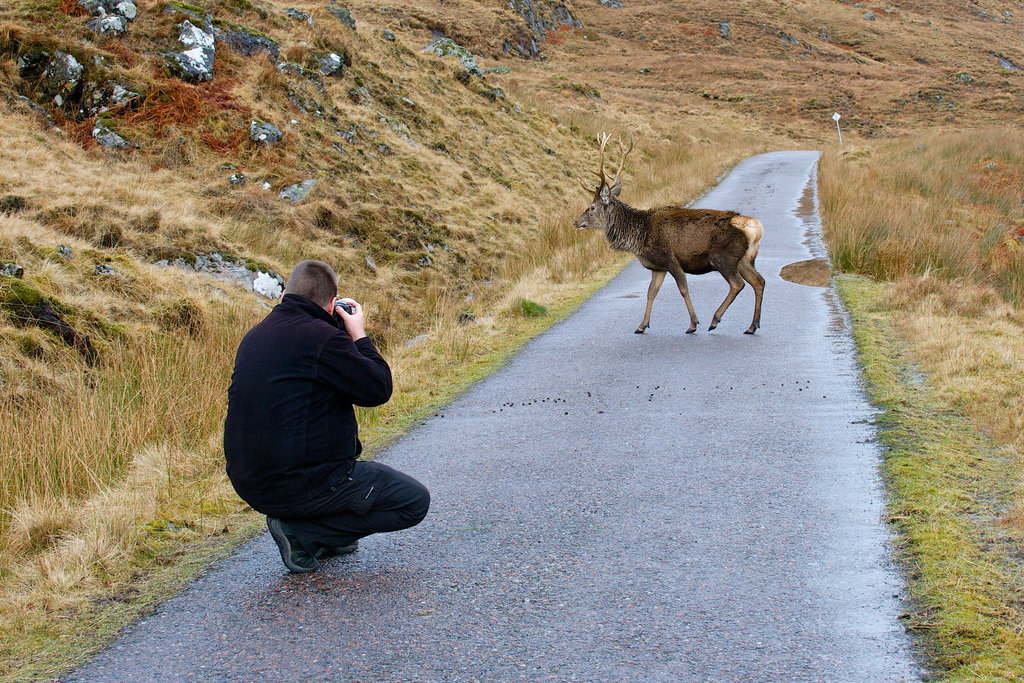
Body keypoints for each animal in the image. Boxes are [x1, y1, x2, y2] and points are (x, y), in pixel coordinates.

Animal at [573, 133, 765, 335]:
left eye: (592, 207)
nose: (576, 222)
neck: (640, 237)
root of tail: (755, 227)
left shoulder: (670, 258)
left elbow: (683, 289)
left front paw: (693, 323)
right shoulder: (658, 267)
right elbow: (651, 292)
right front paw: (641, 325)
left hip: (723, 256)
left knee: (738, 284)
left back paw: (715, 319)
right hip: (744, 258)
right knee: (759, 281)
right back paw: (752, 326)